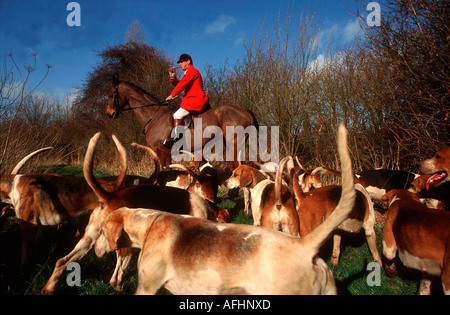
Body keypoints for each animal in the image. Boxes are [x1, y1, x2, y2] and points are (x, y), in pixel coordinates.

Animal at [106, 75, 258, 169]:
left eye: (111, 94)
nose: (109, 113)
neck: (153, 116)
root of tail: (246, 110)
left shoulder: (162, 151)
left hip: (234, 143)